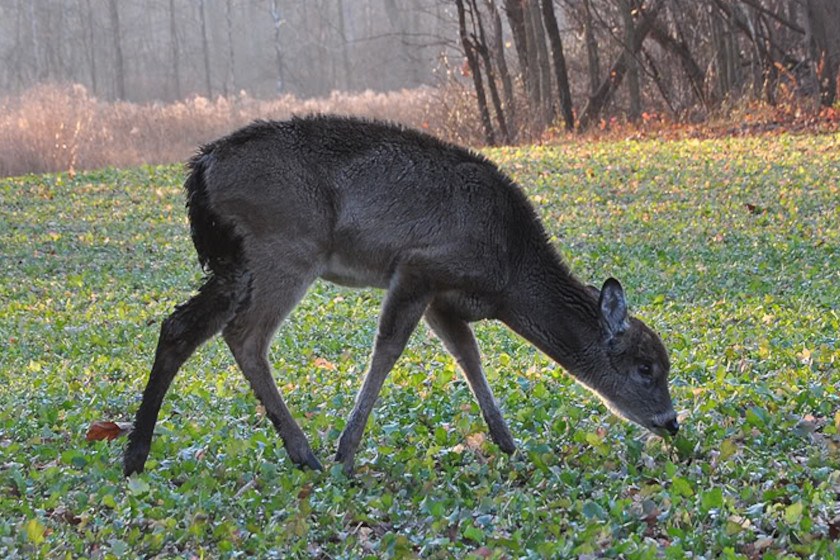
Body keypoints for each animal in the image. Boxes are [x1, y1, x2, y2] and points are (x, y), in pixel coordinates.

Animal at [123, 115, 678, 476]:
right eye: (645, 368)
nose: (671, 422)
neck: (509, 274)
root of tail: (201, 168)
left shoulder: (442, 300)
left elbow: (468, 355)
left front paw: (507, 443)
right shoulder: (418, 267)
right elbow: (388, 349)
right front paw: (346, 452)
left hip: (235, 262)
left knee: (180, 326)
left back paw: (135, 454)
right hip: (285, 244)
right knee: (245, 335)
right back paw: (306, 455)